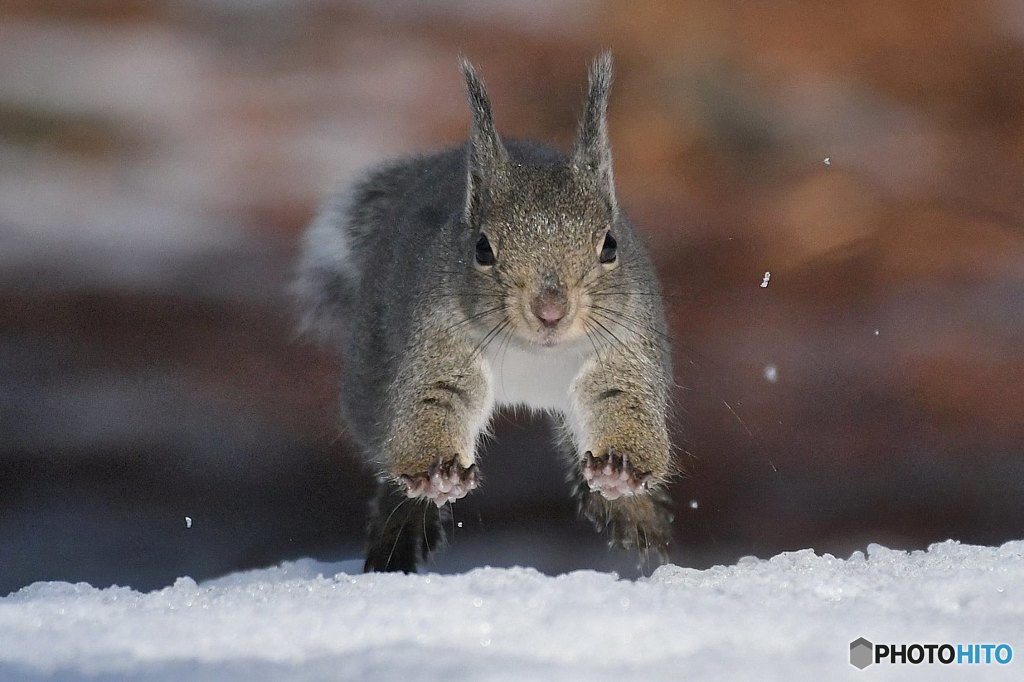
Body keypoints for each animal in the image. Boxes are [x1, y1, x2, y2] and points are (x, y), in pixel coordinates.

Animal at [296, 53, 675, 569]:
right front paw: (438, 474)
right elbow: (437, 398)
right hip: (371, 382)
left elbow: (620, 396)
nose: (550, 310)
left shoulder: (625, 344)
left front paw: (620, 473)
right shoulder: (441, 342)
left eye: (610, 245)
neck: (534, 354)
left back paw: (633, 510)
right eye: (482, 249)